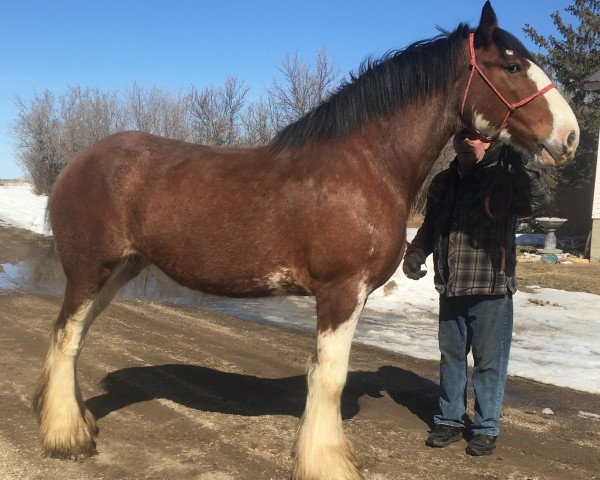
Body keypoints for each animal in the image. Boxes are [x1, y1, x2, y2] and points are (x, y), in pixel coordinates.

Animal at [35, 3, 580, 480]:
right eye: (512, 66)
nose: (571, 137)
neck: (365, 165)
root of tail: (76, 164)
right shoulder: (341, 292)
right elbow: (329, 377)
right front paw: (327, 464)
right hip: (90, 270)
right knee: (65, 338)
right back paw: (66, 437)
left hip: (119, 269)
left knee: (75, 338)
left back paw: (76, 421)